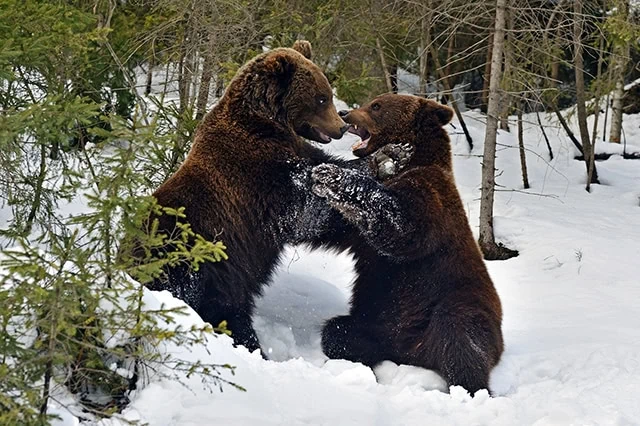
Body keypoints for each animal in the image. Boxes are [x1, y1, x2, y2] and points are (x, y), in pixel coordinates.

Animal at [138, 44, 412, 354]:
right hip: (189, 261)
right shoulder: (258, 178)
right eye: (321, 97)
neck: (267, 126)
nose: (341, 126)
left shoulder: (294, 150)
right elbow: (305, 207)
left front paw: (392, 154)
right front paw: (384, 157)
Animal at [311, 93, 504, 395]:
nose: (345, 113)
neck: (414, 160)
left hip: (459, 300)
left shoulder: (432, 195)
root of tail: (412, 353)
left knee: (461, 335)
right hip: (377, 319)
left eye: (376, 106)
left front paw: (332, 174)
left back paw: (470, 388)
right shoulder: (357, 233)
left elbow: (401, 227)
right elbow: (330, 227)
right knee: (337, 331)